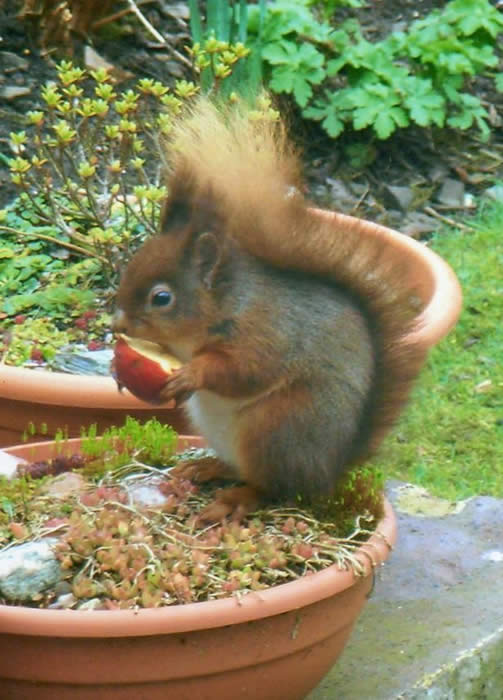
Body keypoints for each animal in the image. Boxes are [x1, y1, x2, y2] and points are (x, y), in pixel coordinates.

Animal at [113, 96, 427, 521]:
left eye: (161, 298)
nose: (118, 323)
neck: (222, 307)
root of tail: (327, 472)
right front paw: (119, 372)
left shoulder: (266, 330)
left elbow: (244, 370)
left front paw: (193, 373)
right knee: (241, 469)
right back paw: (205, 466)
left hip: (276, 428)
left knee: (272, 486)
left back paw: (233, 500)